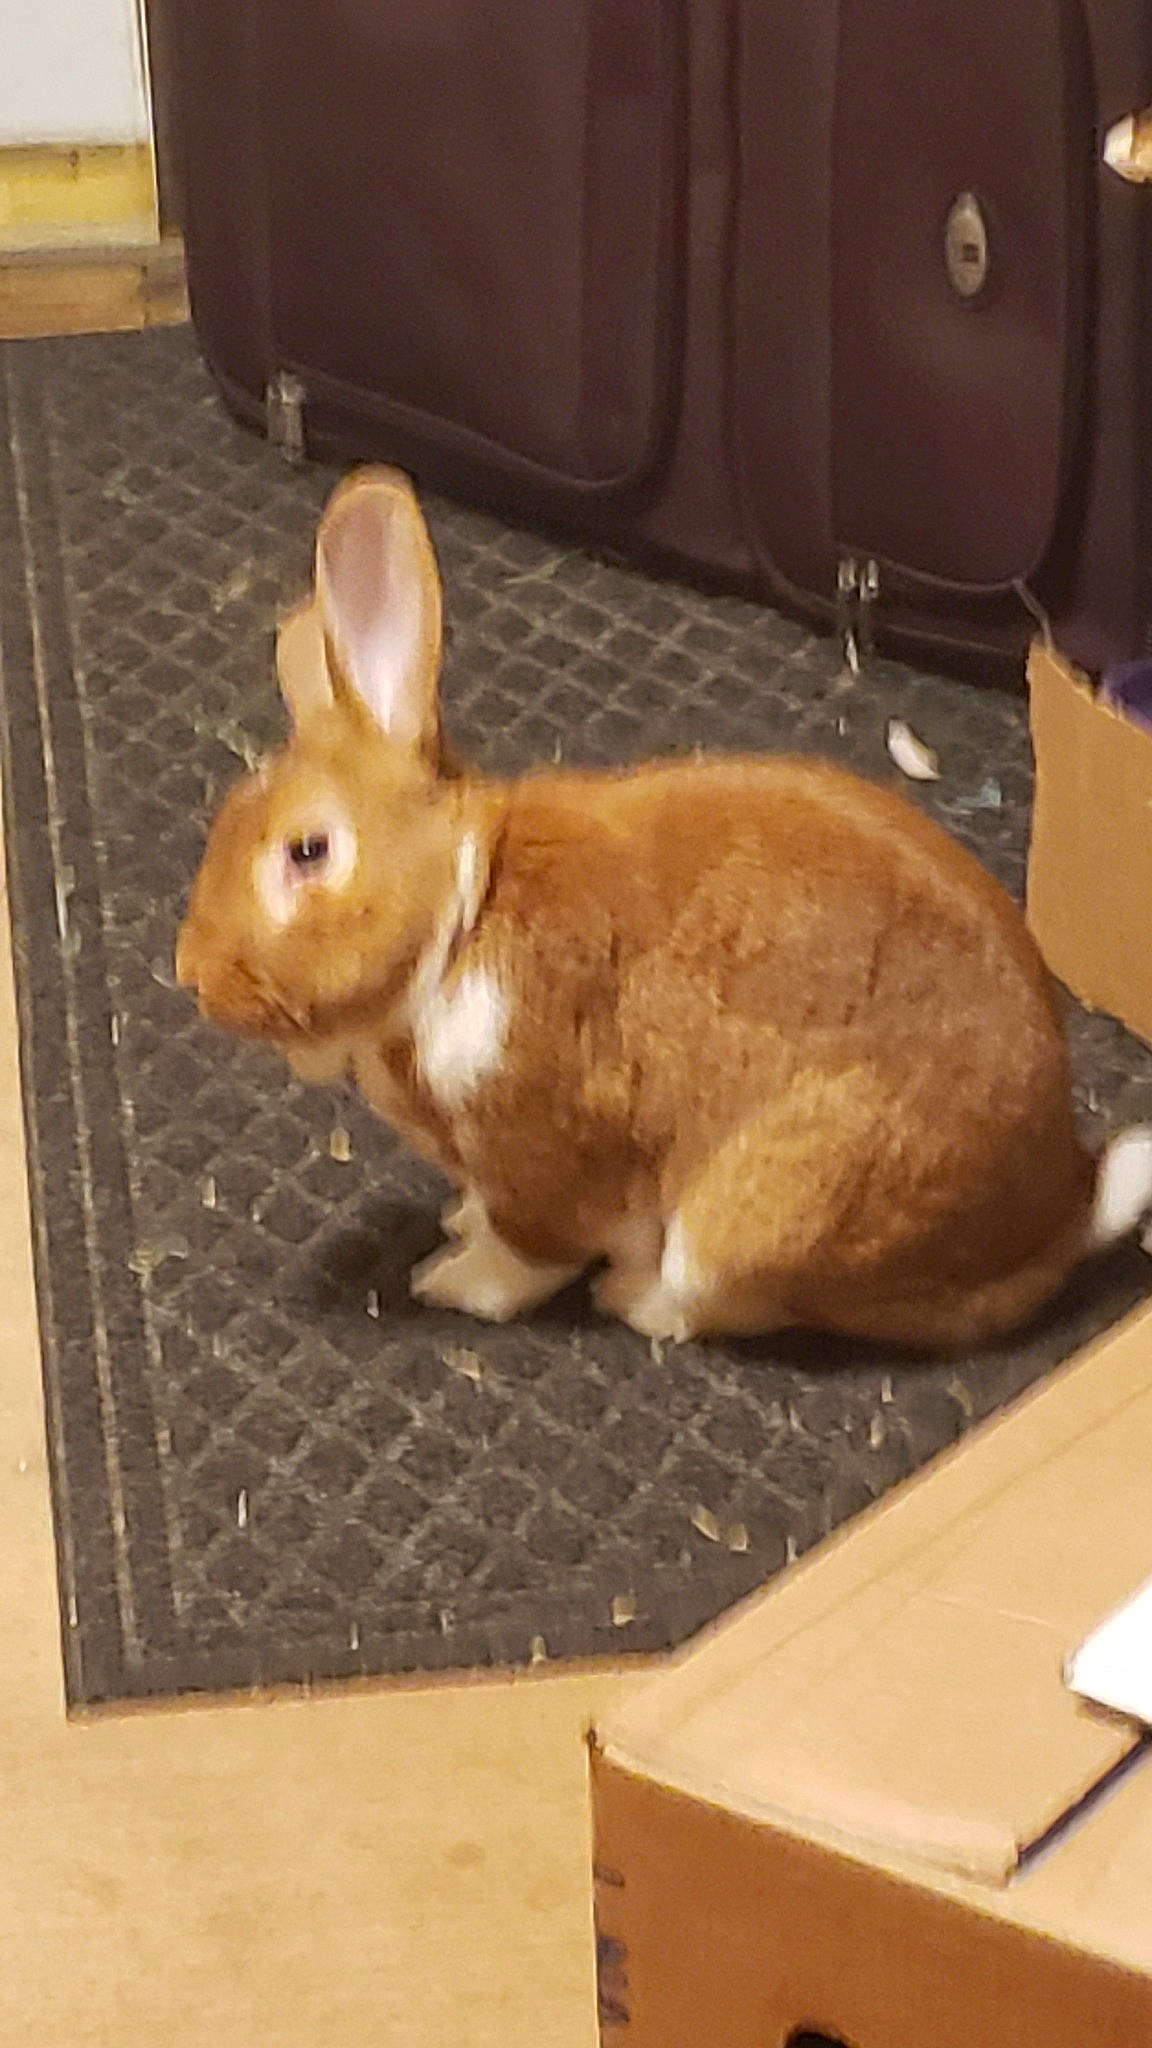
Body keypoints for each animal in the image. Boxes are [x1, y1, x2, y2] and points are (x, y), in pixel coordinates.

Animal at [176, 468, 1152, 1351]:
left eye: (309, 851)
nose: (192, 977)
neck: (466, 911)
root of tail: (1051, 1221)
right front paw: (456, 1226)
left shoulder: (543, 1153)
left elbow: (528, 1254)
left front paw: (451, 1282)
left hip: (774, 1207)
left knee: (716, 1296)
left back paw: (632, 1300)